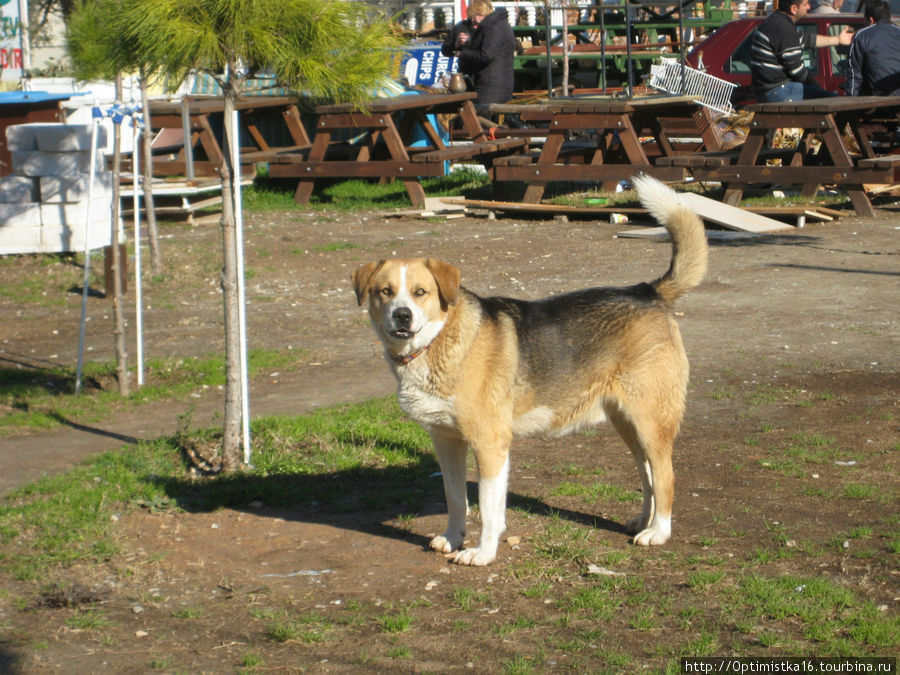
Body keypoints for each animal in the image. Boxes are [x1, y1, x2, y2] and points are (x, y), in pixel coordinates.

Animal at [354, 177, 712, 568]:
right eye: (385, 292)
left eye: (420, 292)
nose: (401, 315)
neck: (438, 343)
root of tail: (648, 291)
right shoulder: (446, 442)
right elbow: (455, 499)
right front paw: (452, 538)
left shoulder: (490, 444)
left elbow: (488, 509)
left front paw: (483, 553)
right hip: (628, 424)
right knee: (646, 475)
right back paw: (643, 521)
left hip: (650, 422)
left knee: (665, 476)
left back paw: (658, 532)